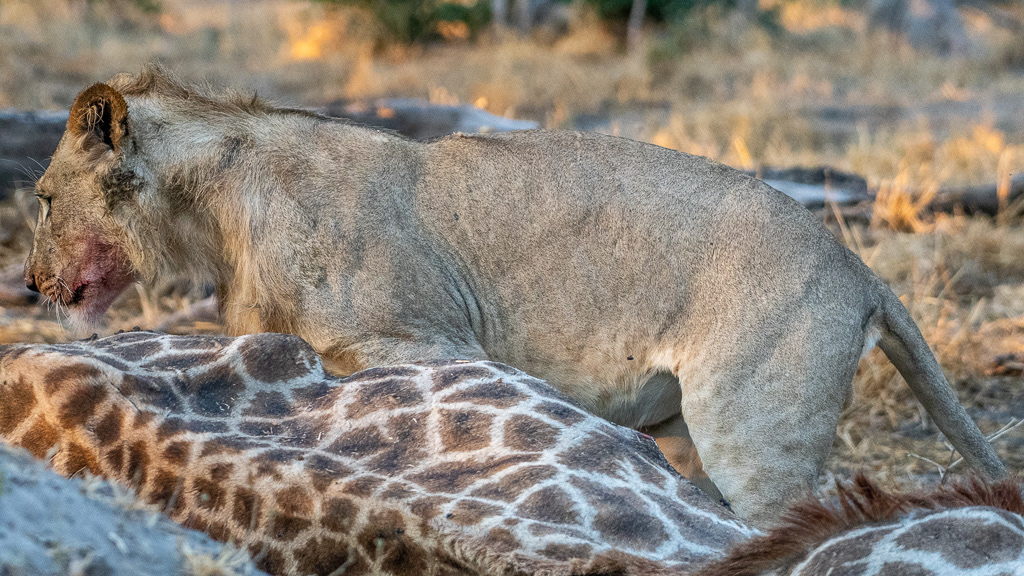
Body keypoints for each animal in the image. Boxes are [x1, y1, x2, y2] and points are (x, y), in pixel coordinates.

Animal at [24, 67, 1007, 524]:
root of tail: (860, 268)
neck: (215, 209)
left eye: (39, 200)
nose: (27, 283)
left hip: (754, 428)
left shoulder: (426, 341)